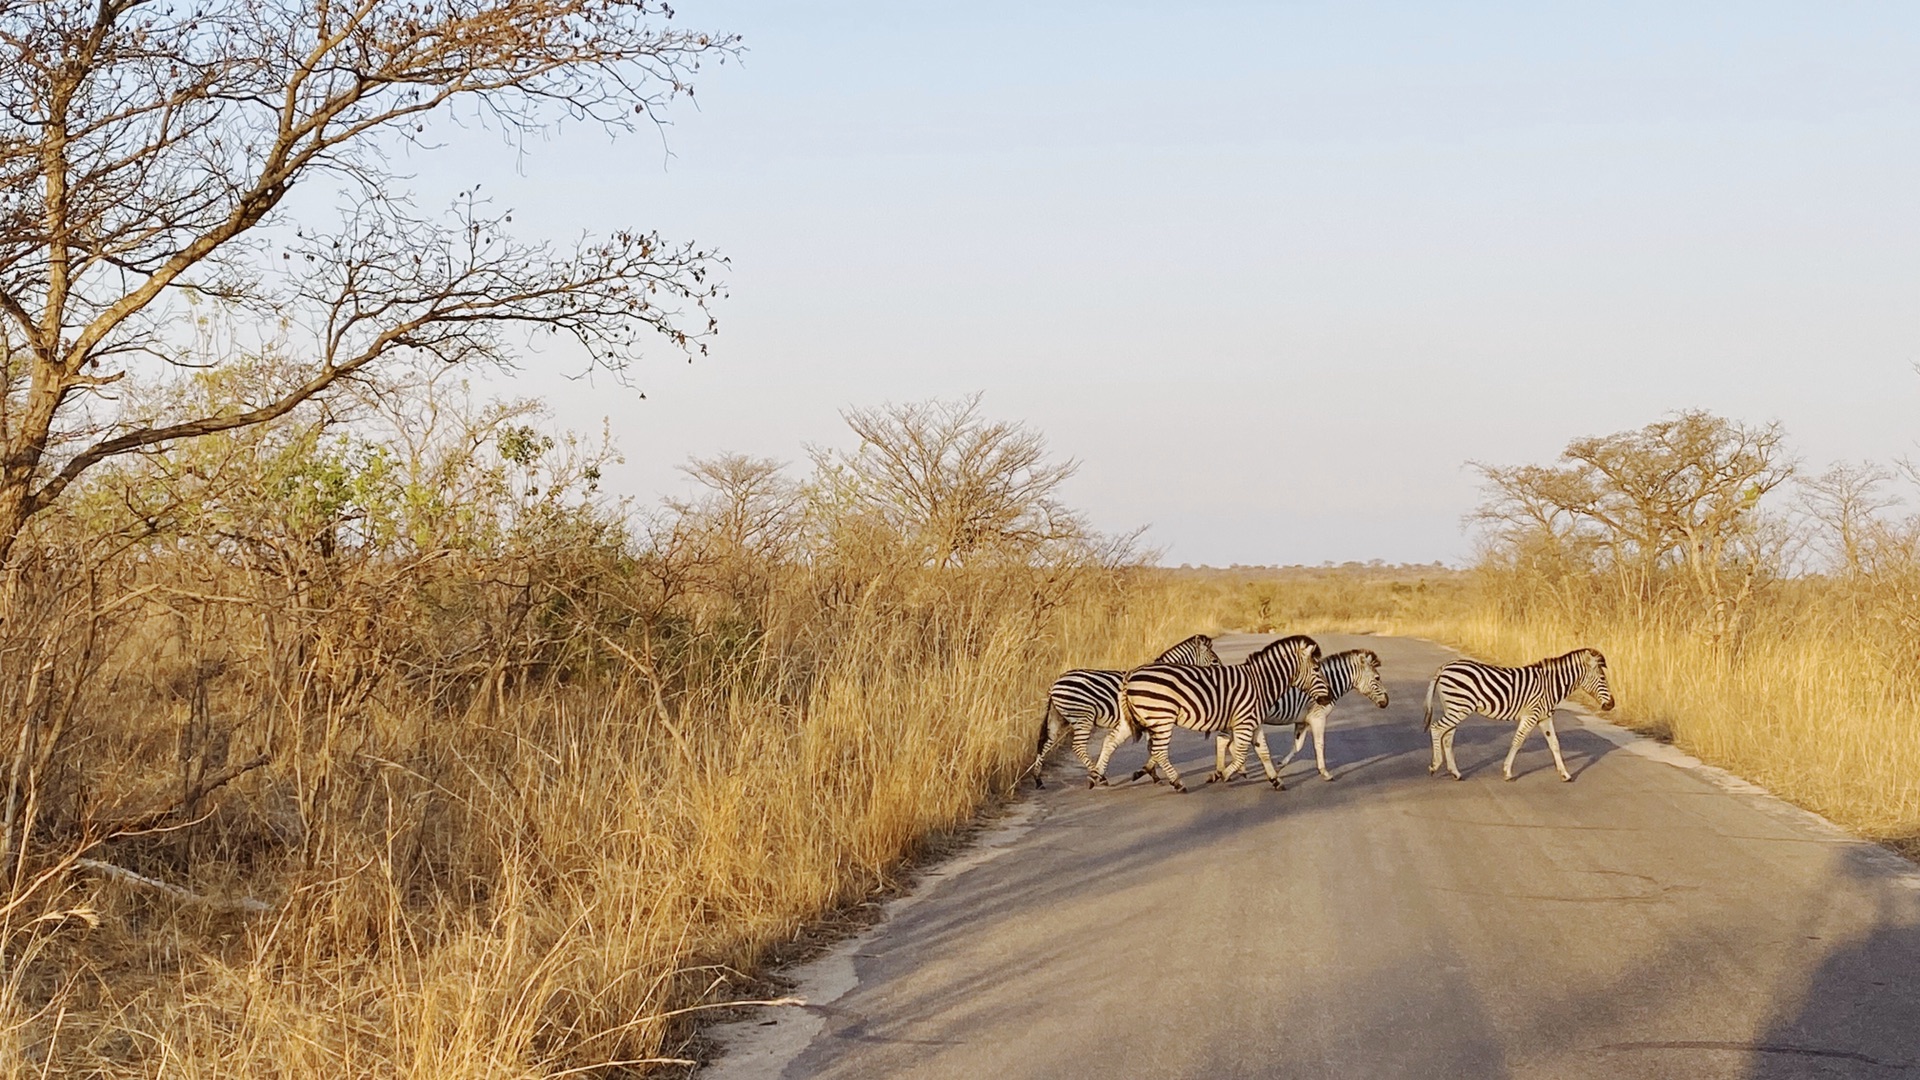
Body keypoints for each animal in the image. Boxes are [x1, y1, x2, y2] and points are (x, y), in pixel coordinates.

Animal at [1029, 630, 1221, 780]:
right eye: (1214, 662)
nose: (1220, 671)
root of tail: (1055, 684)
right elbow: (1153, 747)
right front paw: (1151, 773)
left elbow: (1151, 747)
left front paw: (1151, 773)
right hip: (1083, 716)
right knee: (1077, 747)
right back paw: (1099, 776)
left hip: (1058, 718)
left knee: (1046, 744)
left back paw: (1038, 779)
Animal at [1098, 630, 1336, 791]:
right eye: (1317, 669)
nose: (1328, 698)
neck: (1261, 683)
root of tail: (1132, 674)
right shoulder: (1245, 722)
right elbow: (1241, 753)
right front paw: (1224, 775)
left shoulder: (1255, 721)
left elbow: (1263, 752)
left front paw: (1276, 780)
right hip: (1161, 718)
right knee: (1159, 750)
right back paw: (1177, 782)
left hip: (1137, 718)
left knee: (1111, 740)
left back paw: (1096, 776)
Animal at [1205, 641, 1390, 776]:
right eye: (1377, 678)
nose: (1386, 702)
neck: (1329, 684)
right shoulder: (1318, 717)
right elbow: (1319, 744)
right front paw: (1325, 773)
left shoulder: (1303, 721)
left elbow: (1298, 745)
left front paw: (1280, 765)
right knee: (1224, 740)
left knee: (1225, 741)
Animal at [1420, 641, 1612, 776]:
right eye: (1603, 678)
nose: (1612, 705)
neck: (1550, 685)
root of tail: (1445, 666)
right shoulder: (1531, 714)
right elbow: (1518, 740)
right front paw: (1507, 771)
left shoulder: (1544, 717)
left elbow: (1555, 744)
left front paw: (1565, 774)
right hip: (1459, 707)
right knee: (1437, 728)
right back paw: (1435, 765)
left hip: (1454, 707)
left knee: (1447, 735)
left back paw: (1455, 772)